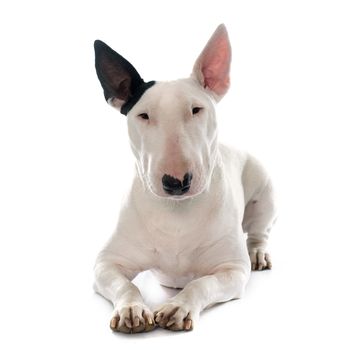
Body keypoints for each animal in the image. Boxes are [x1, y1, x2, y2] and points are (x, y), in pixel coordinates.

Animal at [93, 25, 276, 334]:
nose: (177, 182)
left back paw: (258, 253)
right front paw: (132, 309)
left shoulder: (232, 270)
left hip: (265, 192)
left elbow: (202, 283)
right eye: (143, 115)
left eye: (196, 109)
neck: (175, 213)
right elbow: (126, 285)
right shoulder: (107, 263)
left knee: (259, 232)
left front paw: (179, 306)